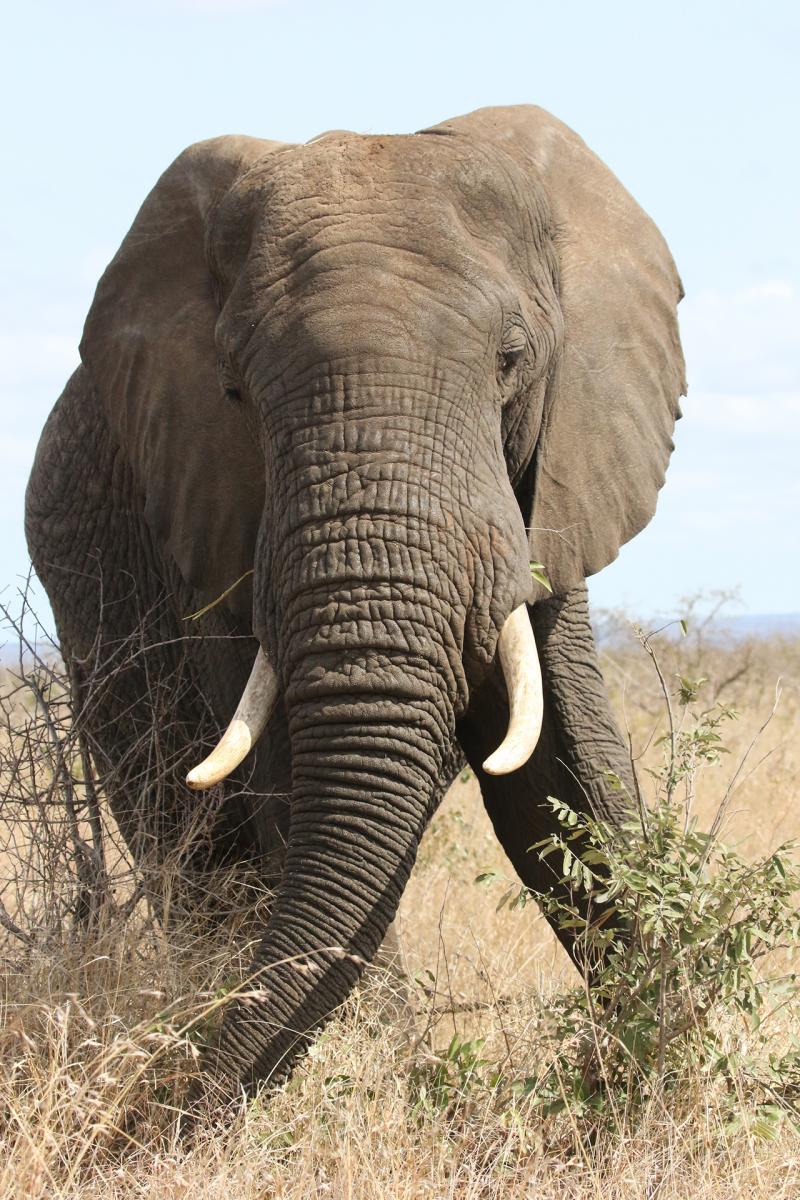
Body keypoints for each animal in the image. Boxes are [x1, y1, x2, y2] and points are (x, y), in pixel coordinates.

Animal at [26, 108, 690, 1099]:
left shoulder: (552, 487)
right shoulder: (214, 526)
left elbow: (561, 778)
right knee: (188, 844)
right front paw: (376, 1081)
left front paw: (661, 1062)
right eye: (232, 389)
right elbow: (296, 780)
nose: (152, 1108)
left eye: (513, 360)